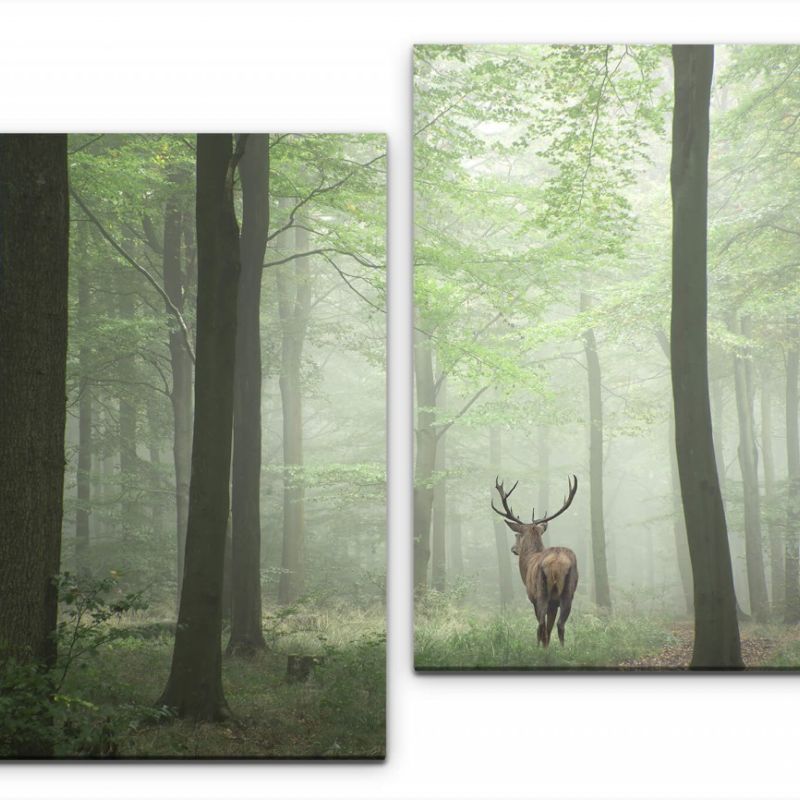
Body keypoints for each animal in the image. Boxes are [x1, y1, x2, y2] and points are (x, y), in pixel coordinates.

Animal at [490, 478, 580, 648]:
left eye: (517, 535)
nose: (513, 549)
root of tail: (557, 564)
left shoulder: (532, 597)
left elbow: (542, 627)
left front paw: (541, 648)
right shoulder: (554, 603)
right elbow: (549, 629)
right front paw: (547, 648)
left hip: (541, 591)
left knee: (541, 625)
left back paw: (538, 649)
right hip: (568, 592)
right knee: (560, 625)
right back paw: (563, 650)